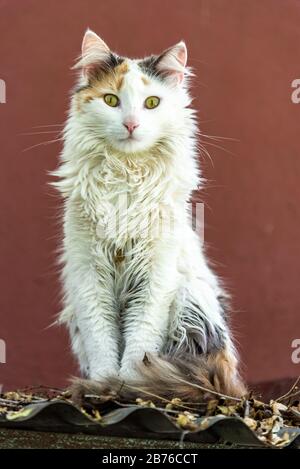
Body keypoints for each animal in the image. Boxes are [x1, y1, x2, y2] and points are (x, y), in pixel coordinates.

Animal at [53, 30, 246, 402]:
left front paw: (130, 385)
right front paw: (104, 383)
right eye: (111, 100)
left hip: (190, 299)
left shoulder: (155, 275)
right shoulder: (89, 275)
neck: (125, 173)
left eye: (152, 103)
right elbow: (103, 342)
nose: (131, 124)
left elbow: (139, 342)